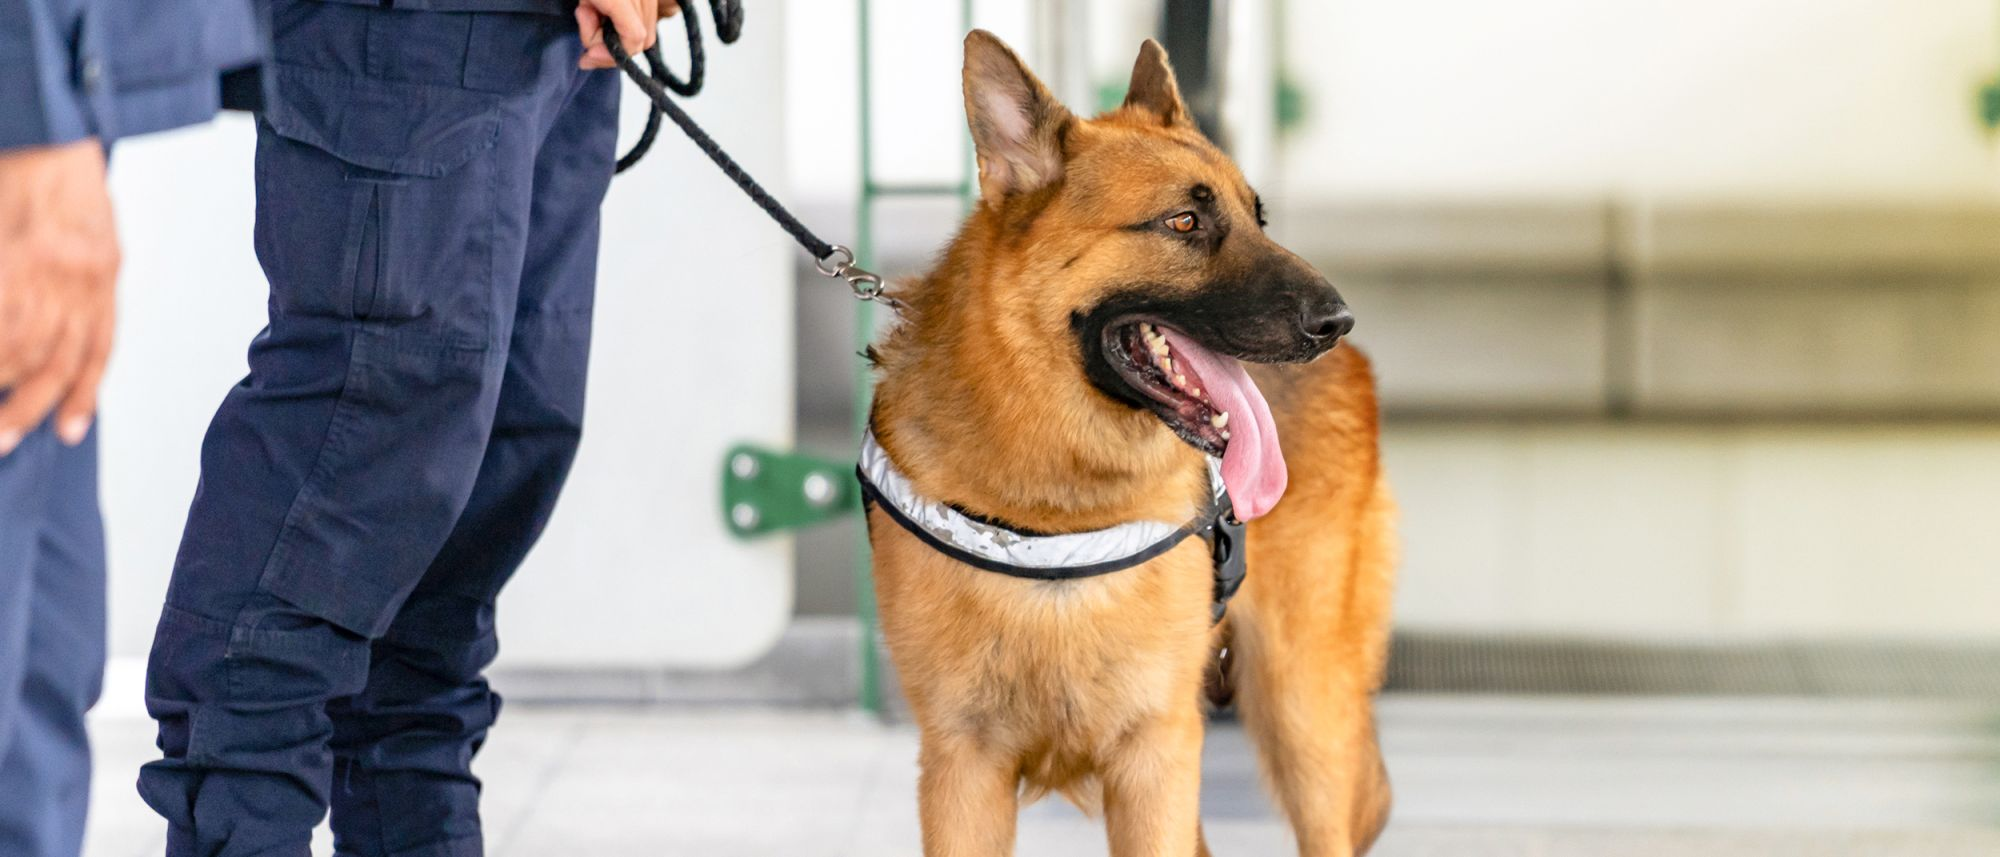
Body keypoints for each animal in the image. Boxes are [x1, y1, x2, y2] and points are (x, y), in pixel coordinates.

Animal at [868, 30, 1400, 852]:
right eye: (1183, 222)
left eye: (1259, 219)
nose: (1337, 320)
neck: (1058, 512)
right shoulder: (964, 769)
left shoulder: (1156, 757)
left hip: (1304, 715)